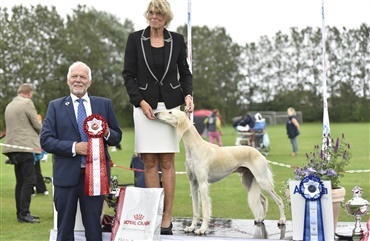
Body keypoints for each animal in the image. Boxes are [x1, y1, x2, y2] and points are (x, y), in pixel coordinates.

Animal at [155, 110, 288, 234]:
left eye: (170, 111)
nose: (156, 113)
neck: (195, 147)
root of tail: (259, 153)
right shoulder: (193, 184)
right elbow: (195, 210)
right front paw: (192, 227)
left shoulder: (203, 184)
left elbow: (205, 210)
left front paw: (202, 229)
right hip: (248, 181)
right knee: (264, 199)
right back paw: (261, 218)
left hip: (262, 181)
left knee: (279, 200)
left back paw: (282, 220)